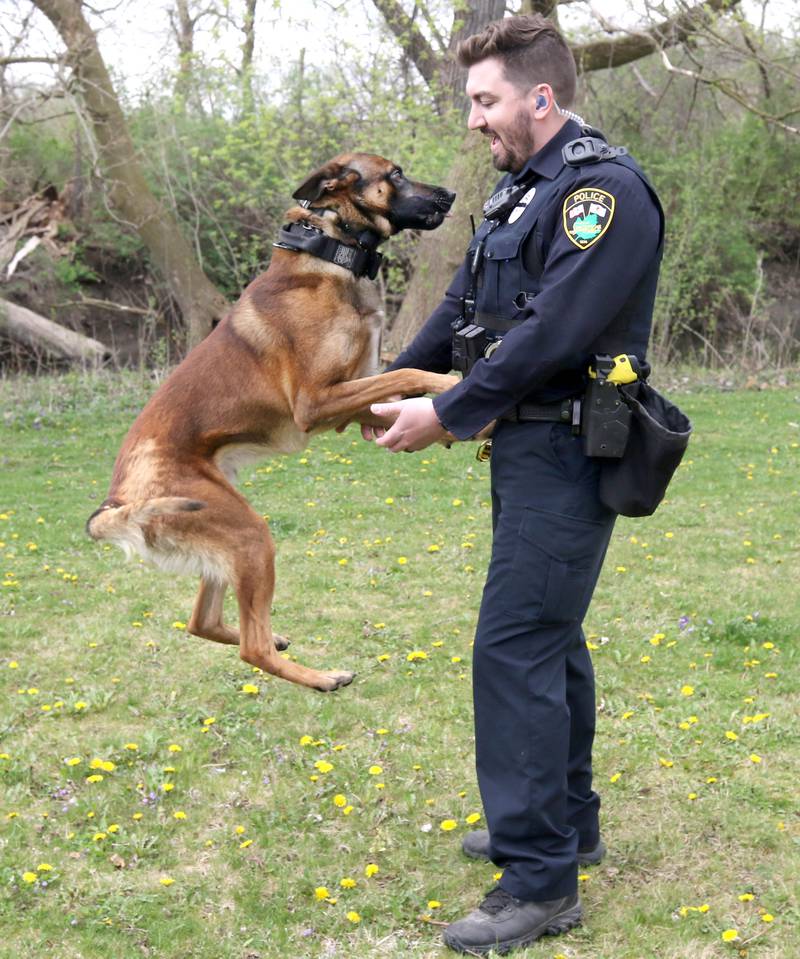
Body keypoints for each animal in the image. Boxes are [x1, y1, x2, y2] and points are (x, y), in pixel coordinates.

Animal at [84, 152, 460, 688]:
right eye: (395, 174)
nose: (451, 195)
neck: (331, 253)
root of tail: (118, 497)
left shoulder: (348, 396)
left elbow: (395, 386)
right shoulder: (315, 402)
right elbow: (409, 371)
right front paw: (452, 387)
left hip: (231, 535)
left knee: (205, 623)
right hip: (250, 535)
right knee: (251, 647)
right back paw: (321, 678)